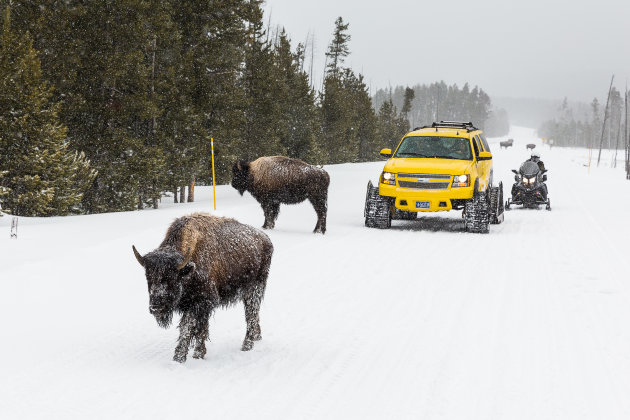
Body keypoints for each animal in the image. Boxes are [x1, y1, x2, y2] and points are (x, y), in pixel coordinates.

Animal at [132, 212, 272, 362]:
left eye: (171, 278)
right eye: (148, 277)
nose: (156, 308)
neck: (188, 268)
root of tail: (266, 239)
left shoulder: (201, 303)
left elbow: (189, 328)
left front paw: (183, 357)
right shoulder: (199, 306)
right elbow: (199, 329)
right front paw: (196, 353)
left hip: (254, 288)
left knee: (251, 314)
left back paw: (247, 345)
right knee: (253, 315)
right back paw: (257, 338)